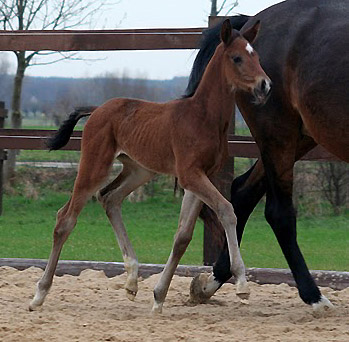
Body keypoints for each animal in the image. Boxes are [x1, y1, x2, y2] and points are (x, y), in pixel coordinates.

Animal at [28, 20, 270, 314]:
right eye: (237, 58)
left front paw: (158, 296)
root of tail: (97, 109)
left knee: (109, 198)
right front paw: (242, 283)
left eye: (256, 56)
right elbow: (227, 209)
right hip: (95, 164)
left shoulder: (200, 177)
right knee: (66, 218)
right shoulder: (191, 175)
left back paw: (132, 279)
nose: (265, 85)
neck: (203, 117)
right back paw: (39, 294)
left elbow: (183, 236)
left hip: (139, 170)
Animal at [186, 0, 348, 312]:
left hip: (297, 137)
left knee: (242, 192)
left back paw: (212, 281)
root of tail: (252, 21)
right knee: (278, 212)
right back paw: (315, 298)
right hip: (277, 133)